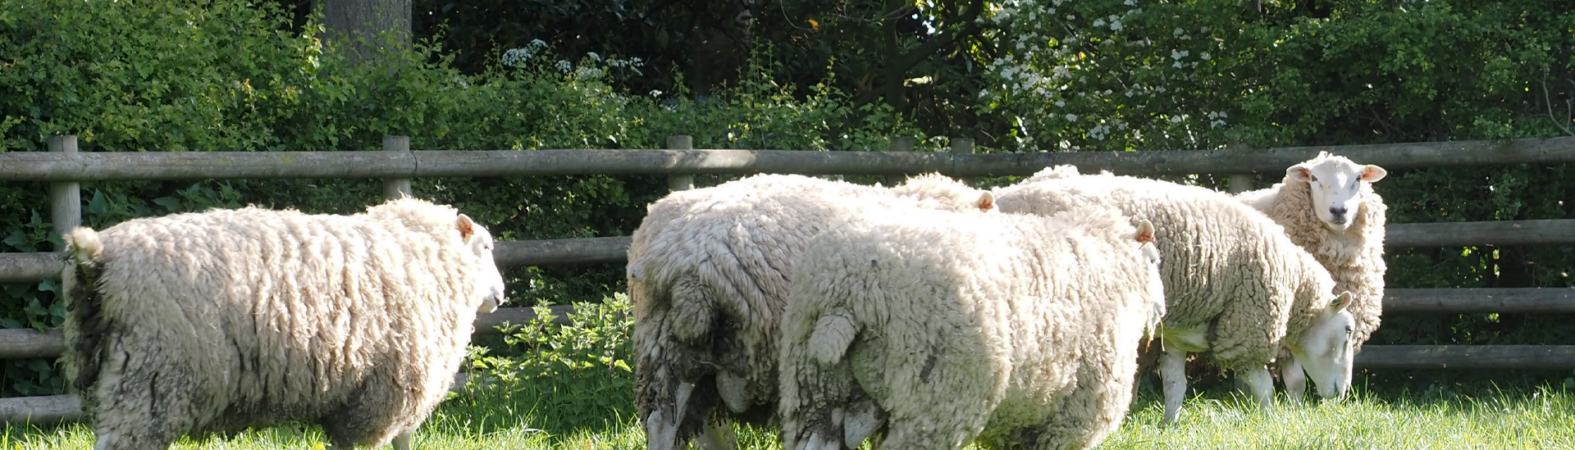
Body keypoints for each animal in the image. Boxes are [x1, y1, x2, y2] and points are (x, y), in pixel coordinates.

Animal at [60, 198, 507, 450]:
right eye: (486, 248)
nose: (502, 296)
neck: (426, 252)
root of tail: (99, 259)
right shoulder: (389, 388)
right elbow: (398, 440)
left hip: (117, 372)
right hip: (154, 374)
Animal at [777, 206, 1165, 450]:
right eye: (1155, 261)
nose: (1162, 309)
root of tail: (851, 284)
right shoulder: (1072, 422)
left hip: (813, 387)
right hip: (936, 398)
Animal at [992, 167, 1358, 424]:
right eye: (1347, 331)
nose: (1342, 395)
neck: (1293, 284)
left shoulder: (1179, 333)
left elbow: (1174, 384)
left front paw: (1171, 423)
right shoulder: (1246, 325)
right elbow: (1263, 385)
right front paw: (1271, 419)